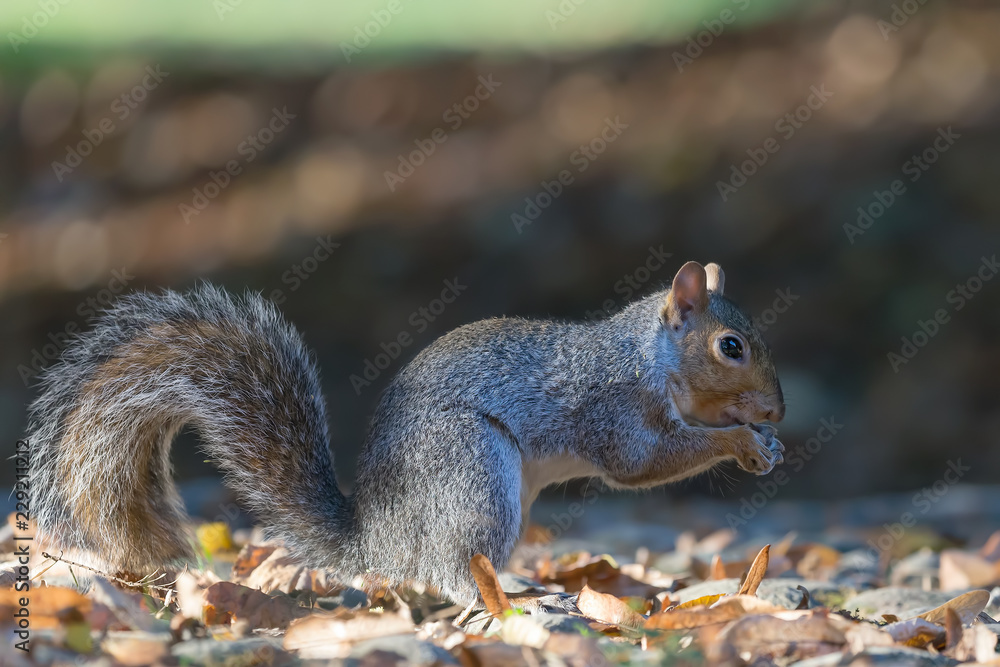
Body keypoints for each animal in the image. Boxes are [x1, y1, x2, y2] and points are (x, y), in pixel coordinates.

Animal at [27, 260, 784, 604]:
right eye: (731, 347)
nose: (776, 410)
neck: (647, 358)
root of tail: (378, 541)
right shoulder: (614, 407)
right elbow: (644, 460)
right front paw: (742, 441)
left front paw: (760, 441)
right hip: (471, 472)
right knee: (451, 573)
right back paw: (515, 597)